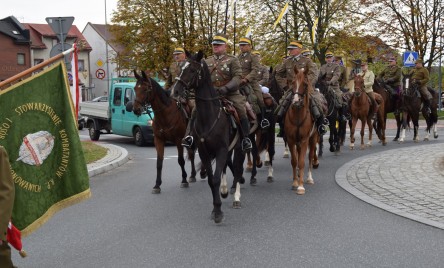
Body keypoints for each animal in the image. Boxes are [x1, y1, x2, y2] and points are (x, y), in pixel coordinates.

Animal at [171, 49, 246, 223]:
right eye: (180, 68)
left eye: (192, 70)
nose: (175, 91)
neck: (210, 116)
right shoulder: (205, 152)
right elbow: (212, 180)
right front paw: (215, 208)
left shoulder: (221, 149)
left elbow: (217, 177)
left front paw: (218, 212)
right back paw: (225, 190)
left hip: (239, 147)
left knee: (238, 169)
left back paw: (236, 197)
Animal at [284, 65, 320, 195]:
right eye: (293, 82)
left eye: (305, 84)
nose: (296, 101)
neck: (298, 115)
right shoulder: (291, 139)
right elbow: (295, 161)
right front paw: (295, 182)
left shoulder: (305, 140)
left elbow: (302, 161)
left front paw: (300, 186)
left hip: (313, 138)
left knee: (310, 157)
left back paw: (309, 178)